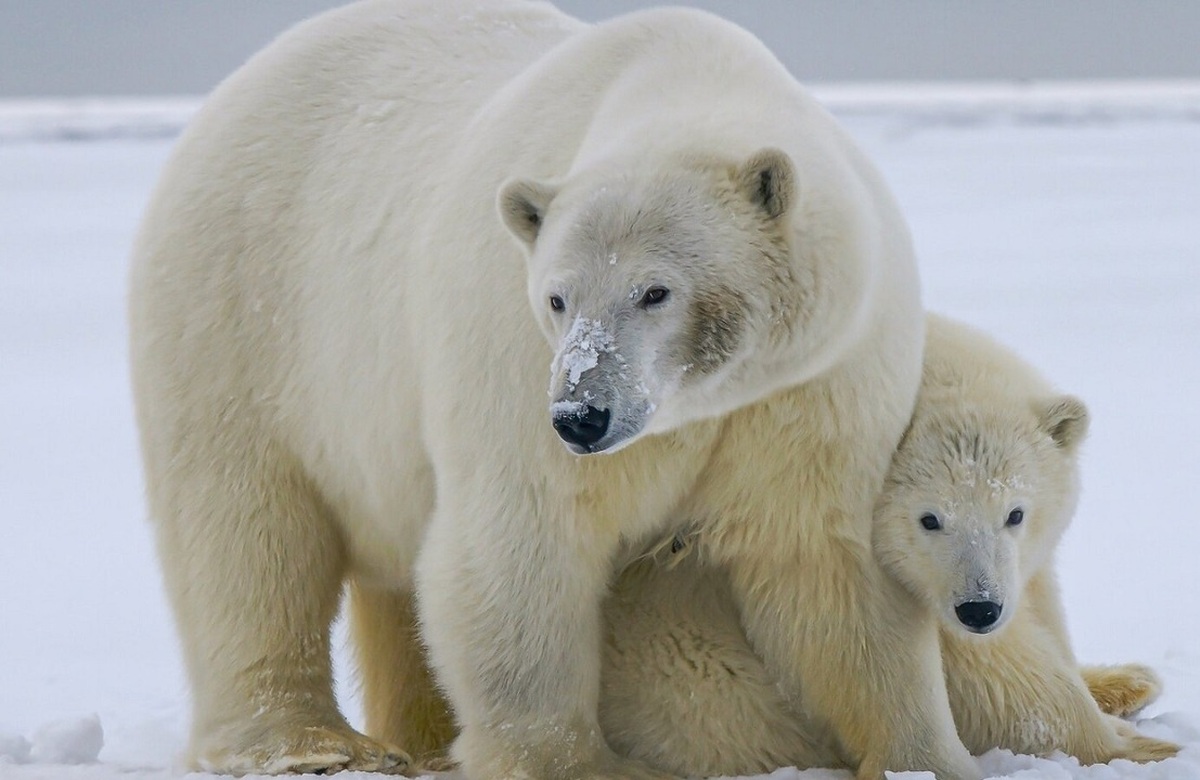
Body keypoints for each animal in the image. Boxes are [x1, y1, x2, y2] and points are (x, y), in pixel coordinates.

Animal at [129, 1, 974, 777]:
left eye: (656, 291)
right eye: (557, 297)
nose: (581, 415)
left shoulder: (813, 383)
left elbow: (827, 564)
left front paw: (926, 755)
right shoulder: (510, 355)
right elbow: (524, 544)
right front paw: (578, 763)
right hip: (240, 312)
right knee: (245, 531)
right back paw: (309, 746)